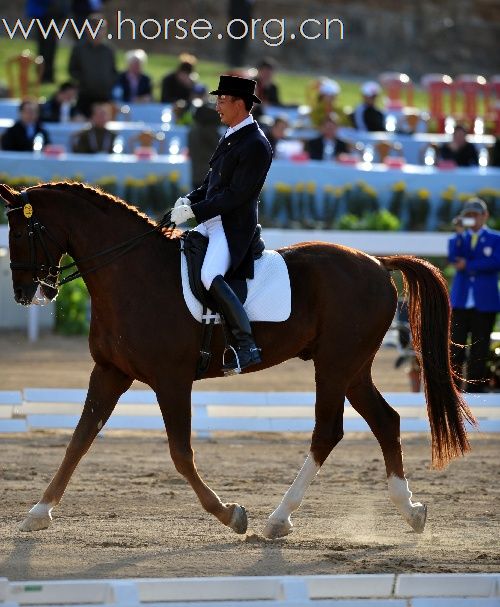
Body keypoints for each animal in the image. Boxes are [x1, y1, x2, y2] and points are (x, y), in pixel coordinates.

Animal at [1, 182, 474, 536]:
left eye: (21, 233)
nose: (24, 294)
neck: (132, 274)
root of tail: (377, 260)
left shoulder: (170, 379)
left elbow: (180, 453)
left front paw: (231, 514)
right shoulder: (110, 371)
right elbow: (79, 439)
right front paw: (38, 512)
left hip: (335, 366)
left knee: (328, 432)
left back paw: (277, 519)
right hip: (352, 368)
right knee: (385, 421)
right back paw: (410, 510)